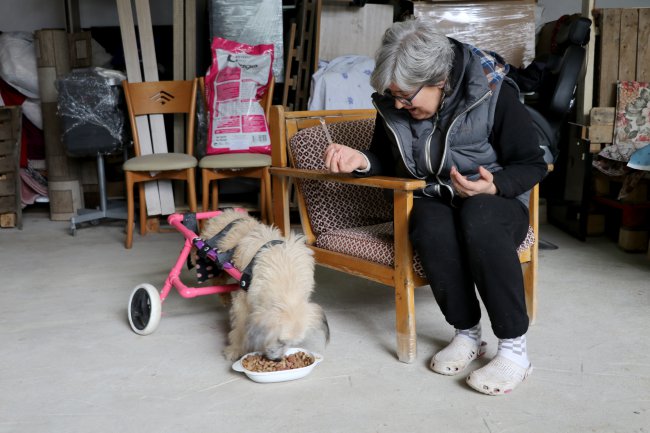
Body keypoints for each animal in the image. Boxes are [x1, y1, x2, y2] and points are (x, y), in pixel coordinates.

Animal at [197, 209, 330, 362]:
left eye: (291, 344)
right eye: (279, 340)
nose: (278, 360)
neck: (286, 283)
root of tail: (225, 212)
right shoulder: (243, 301)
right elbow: (240, 328)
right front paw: (235, 349)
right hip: (217, 261)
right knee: (217, 279)